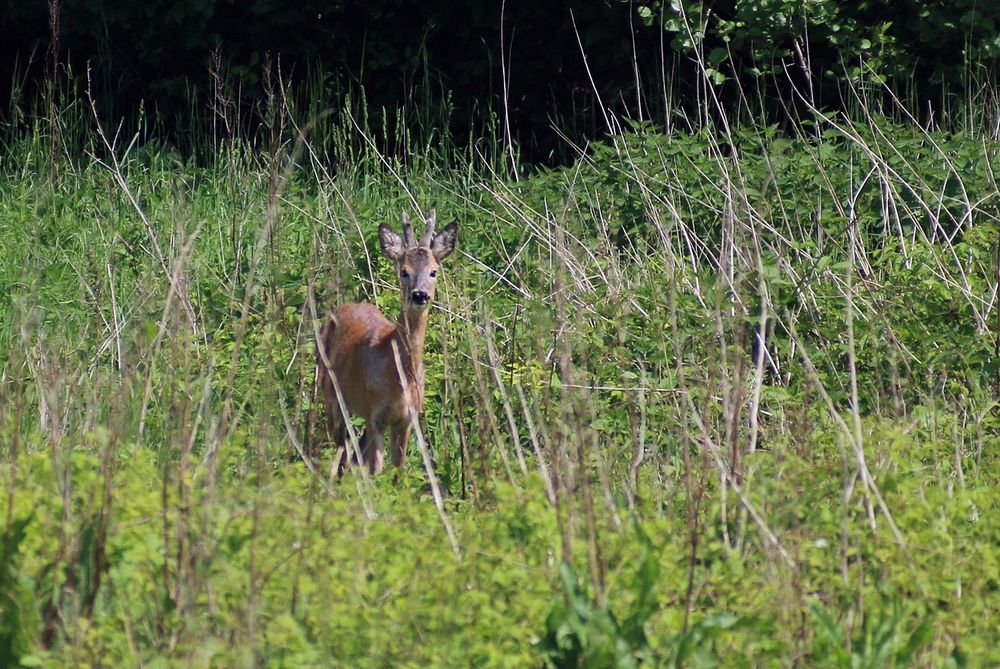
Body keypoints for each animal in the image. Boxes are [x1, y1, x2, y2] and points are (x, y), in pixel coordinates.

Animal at [314, 211, 458, 472]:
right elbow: (376, 471)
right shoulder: (375, 416)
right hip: (330, 393)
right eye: (404, 271)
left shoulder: (407, 420)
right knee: (340, 446)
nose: (419, 295)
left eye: (433, 271)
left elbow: (398, 471)